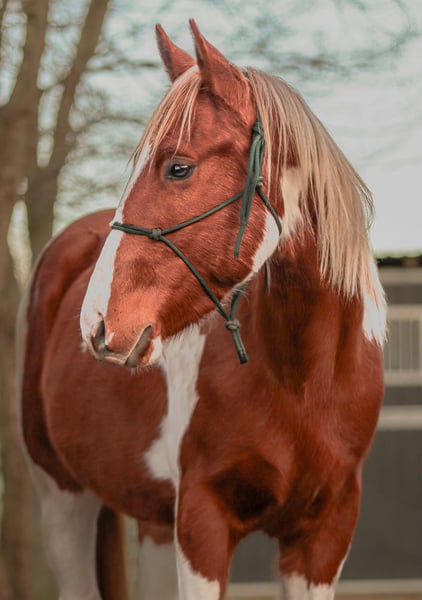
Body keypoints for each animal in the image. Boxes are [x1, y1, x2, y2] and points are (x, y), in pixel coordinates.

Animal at [18, 20, 386, 600]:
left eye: (179, 168)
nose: (96, 322)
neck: (302, 383)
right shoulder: (202, 522)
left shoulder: (323, 538)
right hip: (62, 497)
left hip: (151, 520)